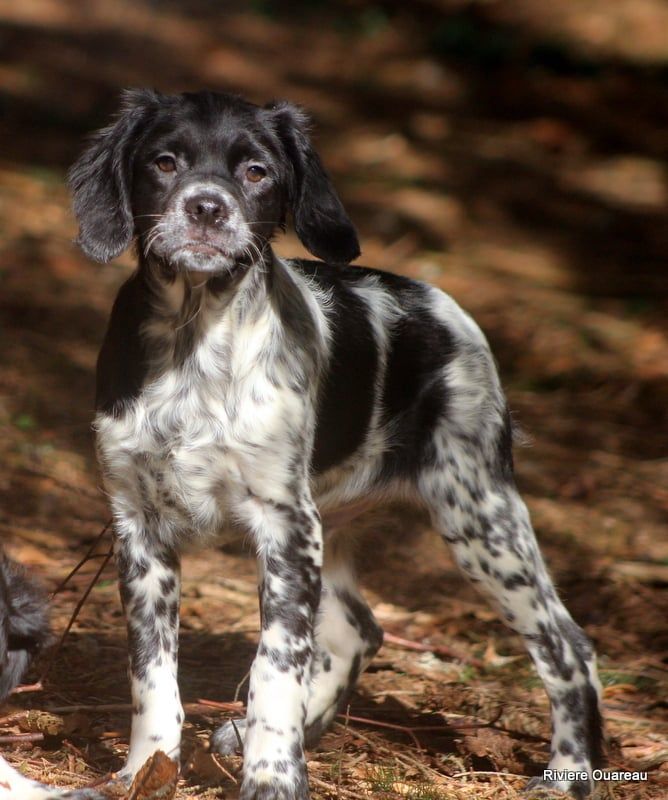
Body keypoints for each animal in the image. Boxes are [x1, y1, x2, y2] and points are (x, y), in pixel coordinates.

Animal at [5, 90, 604, 800]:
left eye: (256, 171)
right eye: (164, 161)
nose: (206, 207)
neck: (195, 343)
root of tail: (440, 301)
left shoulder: (284, 524)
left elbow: (276, 664)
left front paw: (273, 776)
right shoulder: (139, 527)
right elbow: (152, 673)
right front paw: (144, 770)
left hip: (479, 513)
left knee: (567, 644)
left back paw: (570, 773)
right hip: (344, 519)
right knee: (358, 629)